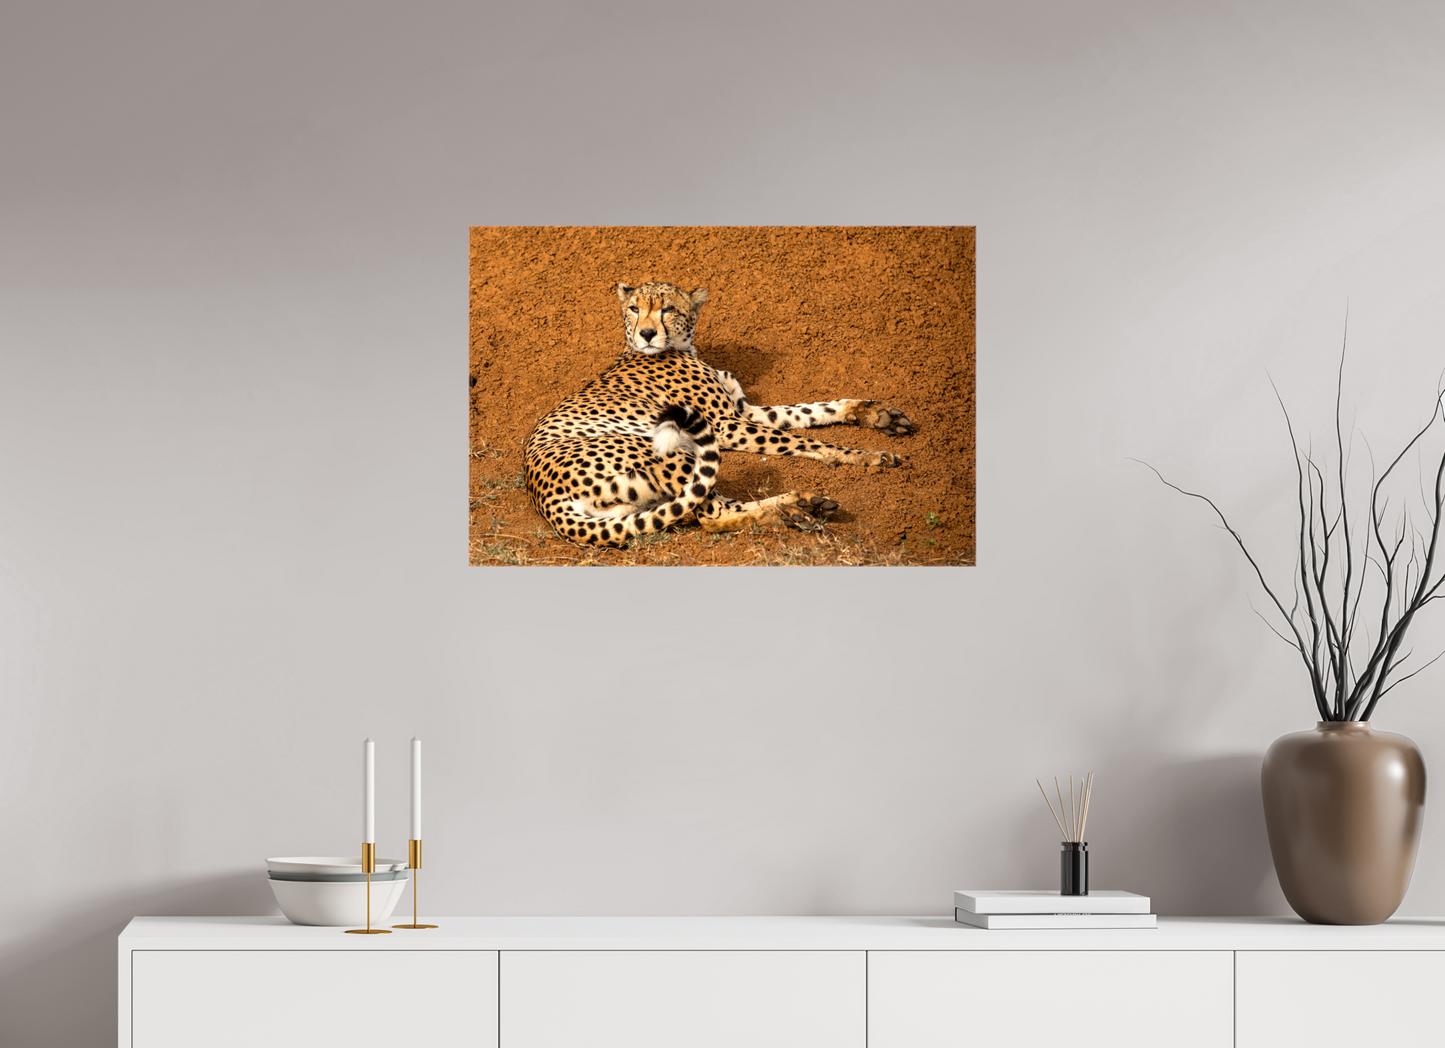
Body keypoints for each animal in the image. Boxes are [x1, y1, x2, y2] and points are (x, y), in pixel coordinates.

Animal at [522, 280, 916, 548]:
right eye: (634, 308)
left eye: (667, 309)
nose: (647, 333)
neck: (681, 347)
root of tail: (544, 498)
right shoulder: (724, 425)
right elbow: (803, 439)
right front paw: (865, 455)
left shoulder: (745, 411)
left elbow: (808, 411)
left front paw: (875, 414)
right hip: (664, 450)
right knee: (712, 514)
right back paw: (794, 510)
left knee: (709, 507)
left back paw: (802, 504)